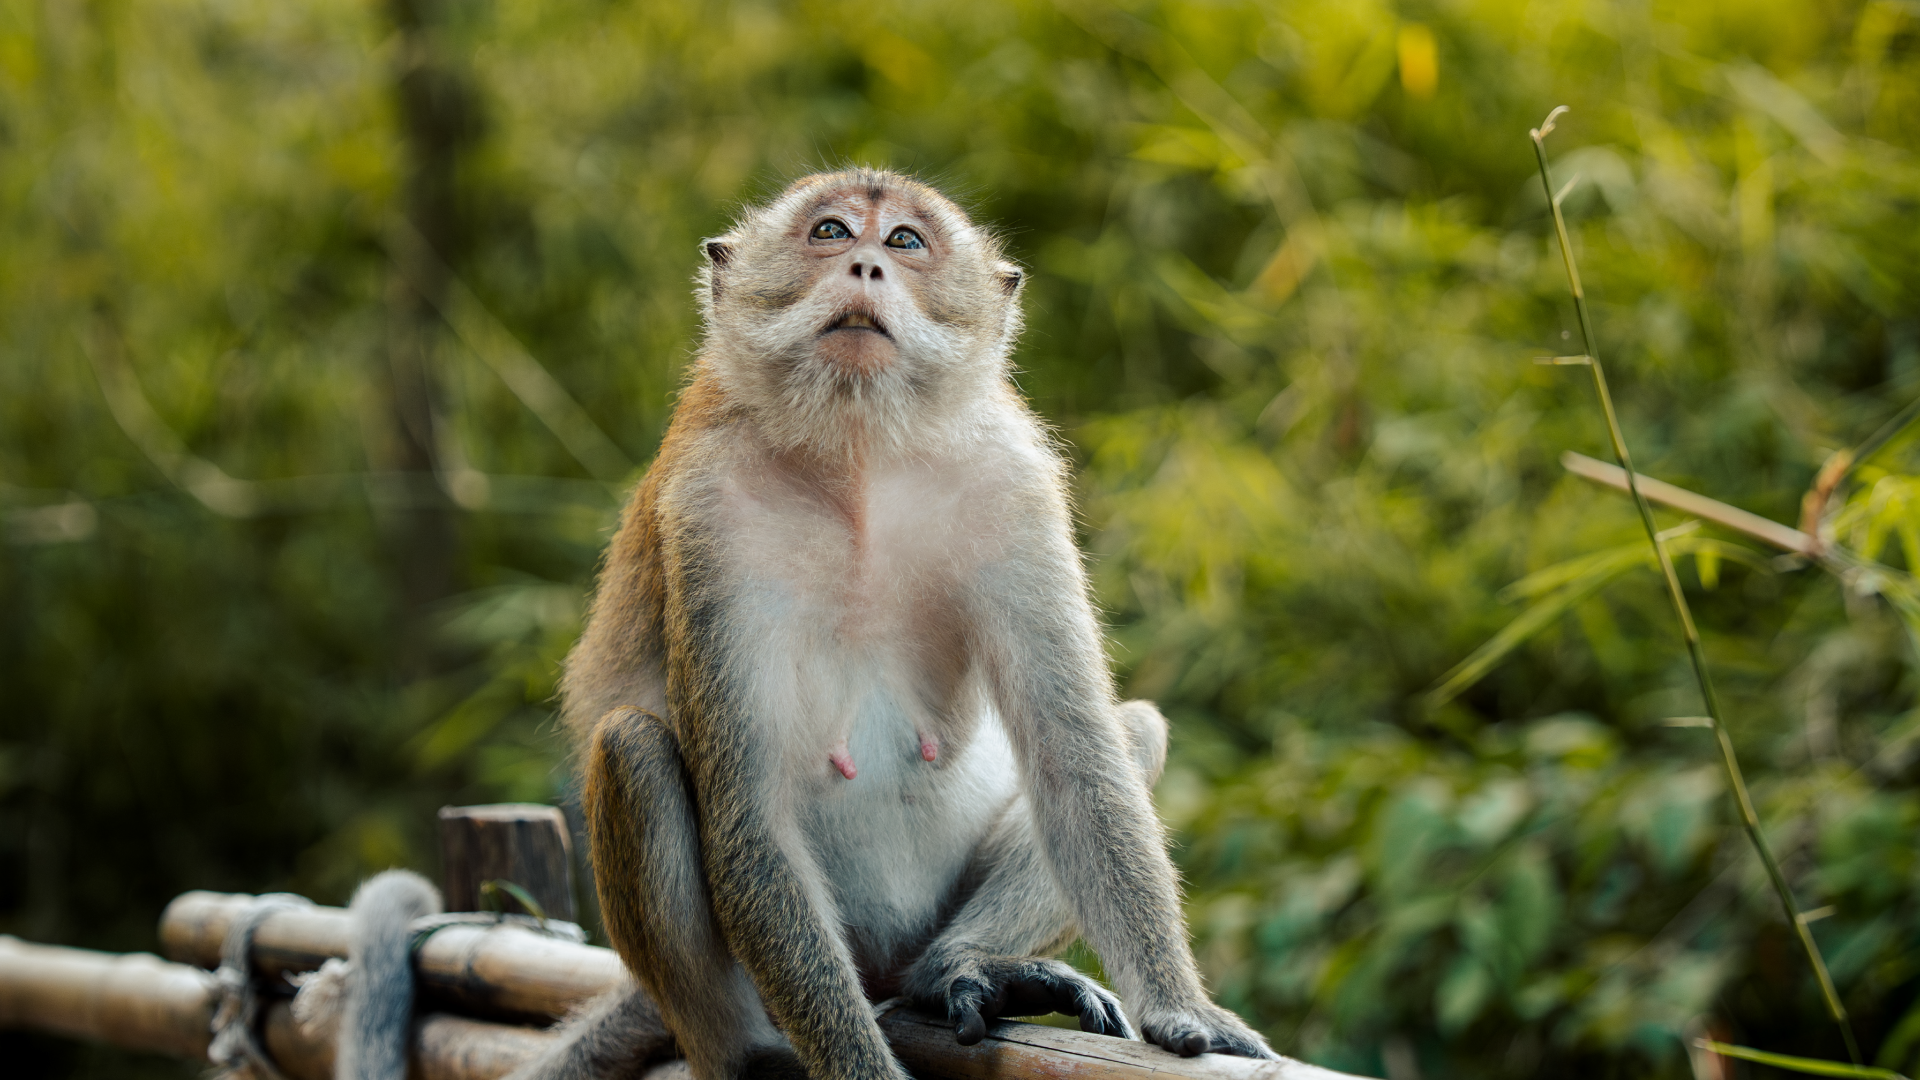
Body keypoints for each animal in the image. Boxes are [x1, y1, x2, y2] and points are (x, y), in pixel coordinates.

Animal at [508, 168, 1276, 1080]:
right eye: (831, 232)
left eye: (906, 241)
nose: (866, 265)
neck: (859, 453)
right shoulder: (707, 515)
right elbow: (751, 817)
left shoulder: (1013, 482)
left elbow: (1077, 757)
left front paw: (1180, 1008)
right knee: (634, 751)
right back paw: (748, 1055)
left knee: (1128, 734)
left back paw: (953, 970)